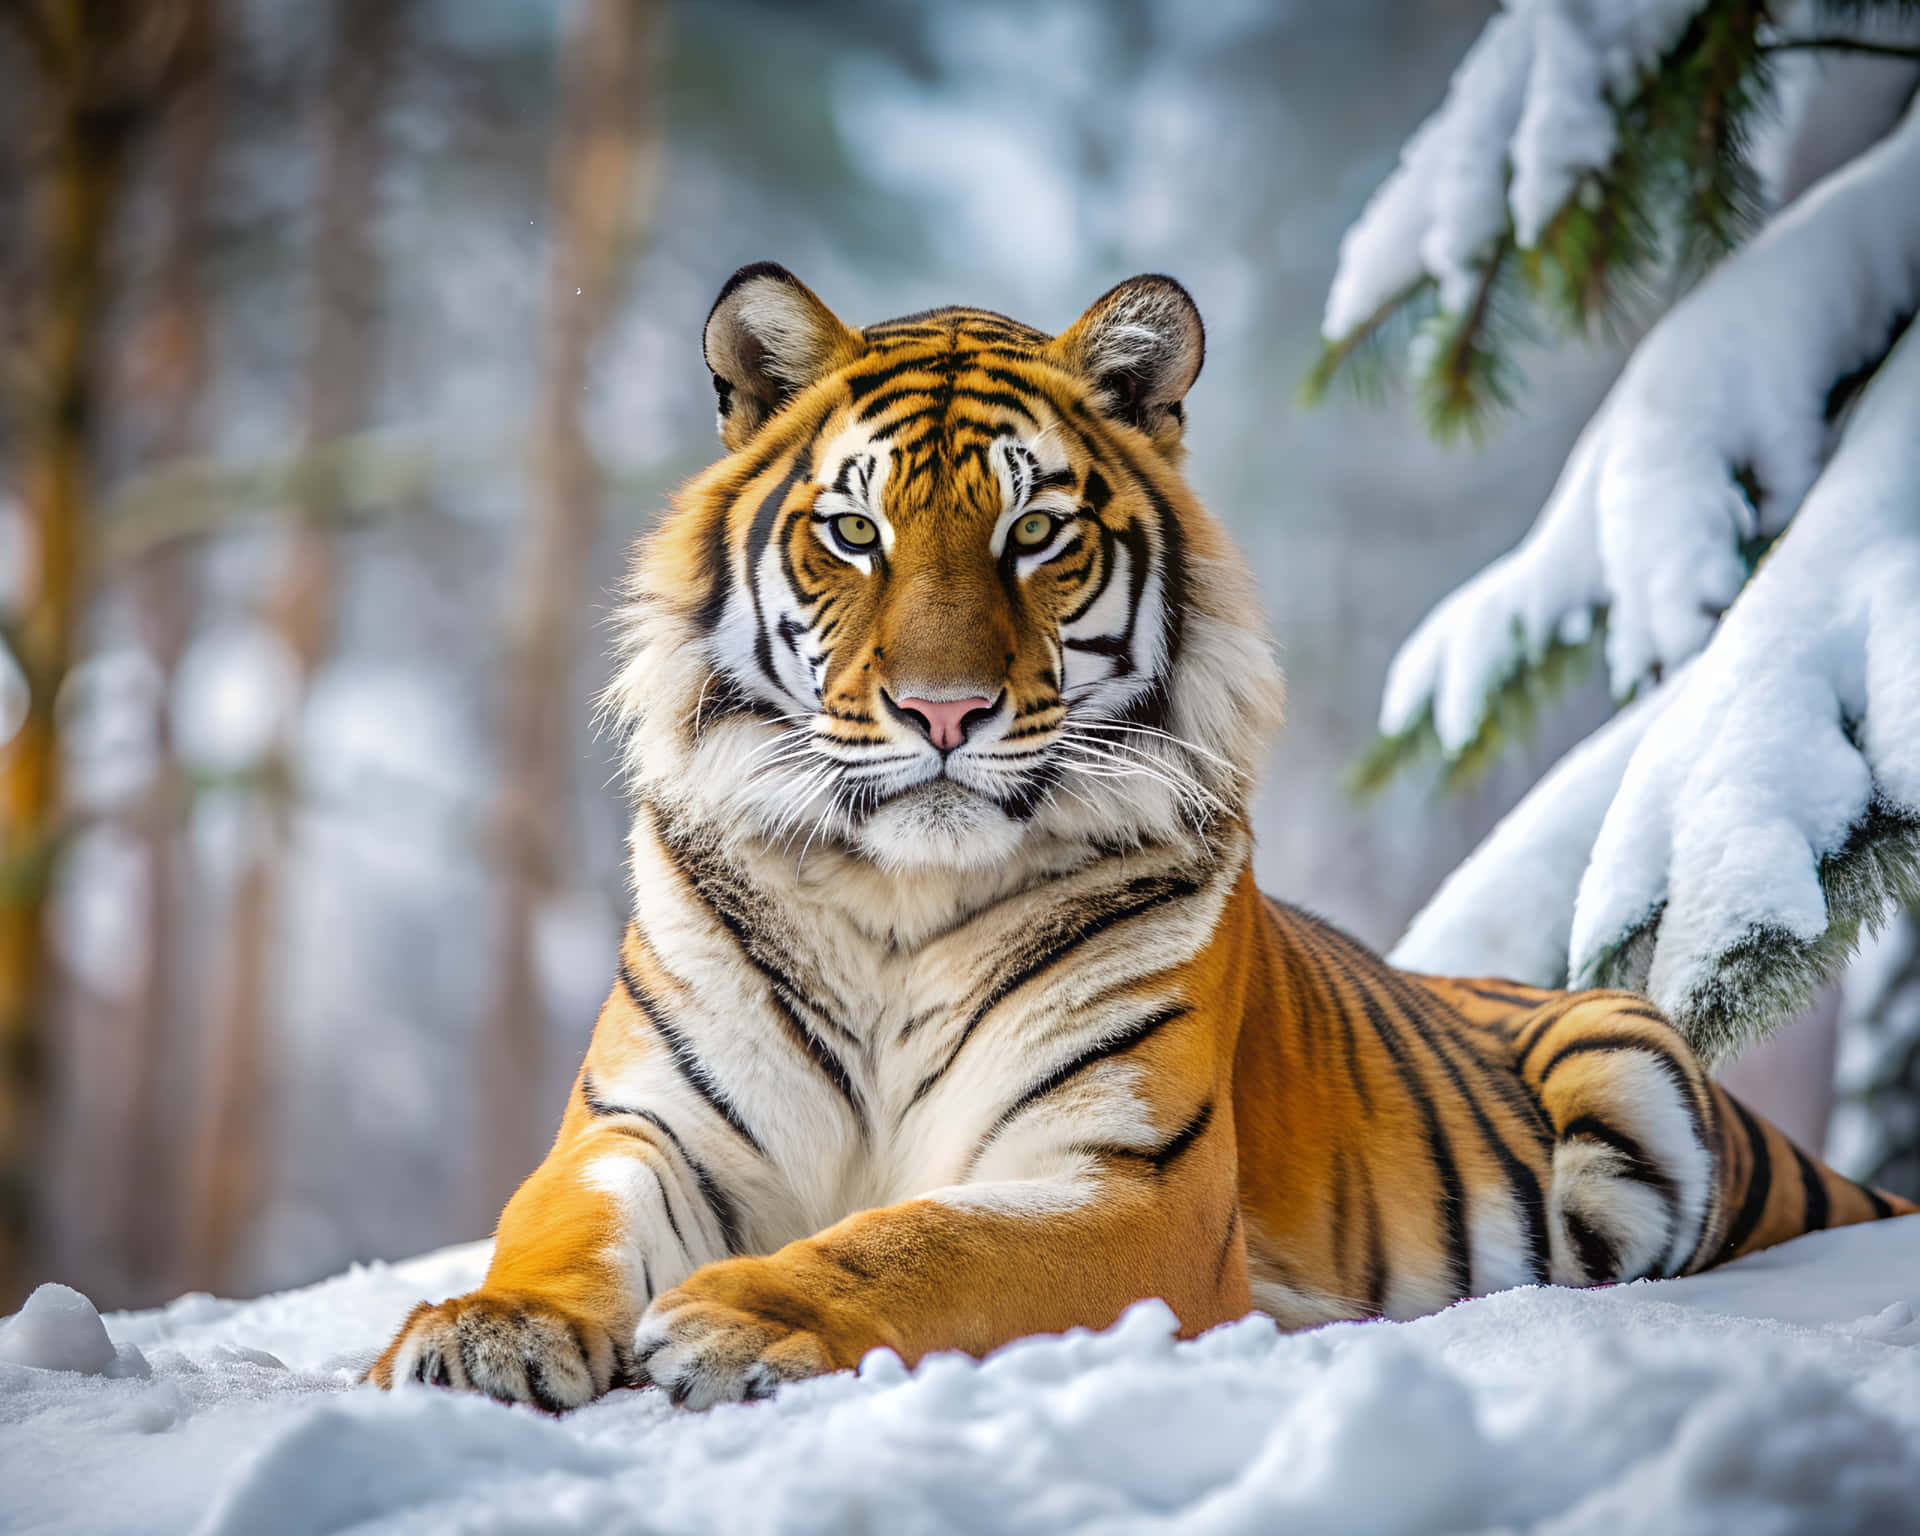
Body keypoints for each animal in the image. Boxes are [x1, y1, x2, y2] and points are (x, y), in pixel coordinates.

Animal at [369, 264, 1914, 1411]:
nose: (943, 708)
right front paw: (484, 1328)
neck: (897, 899)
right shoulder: (645, 1123)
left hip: (1630, 1067)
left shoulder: (1123, 1182)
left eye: (1036, 532)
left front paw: (737, 1319)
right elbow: (562, 1222)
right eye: (856, 534)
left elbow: (917, 1244)